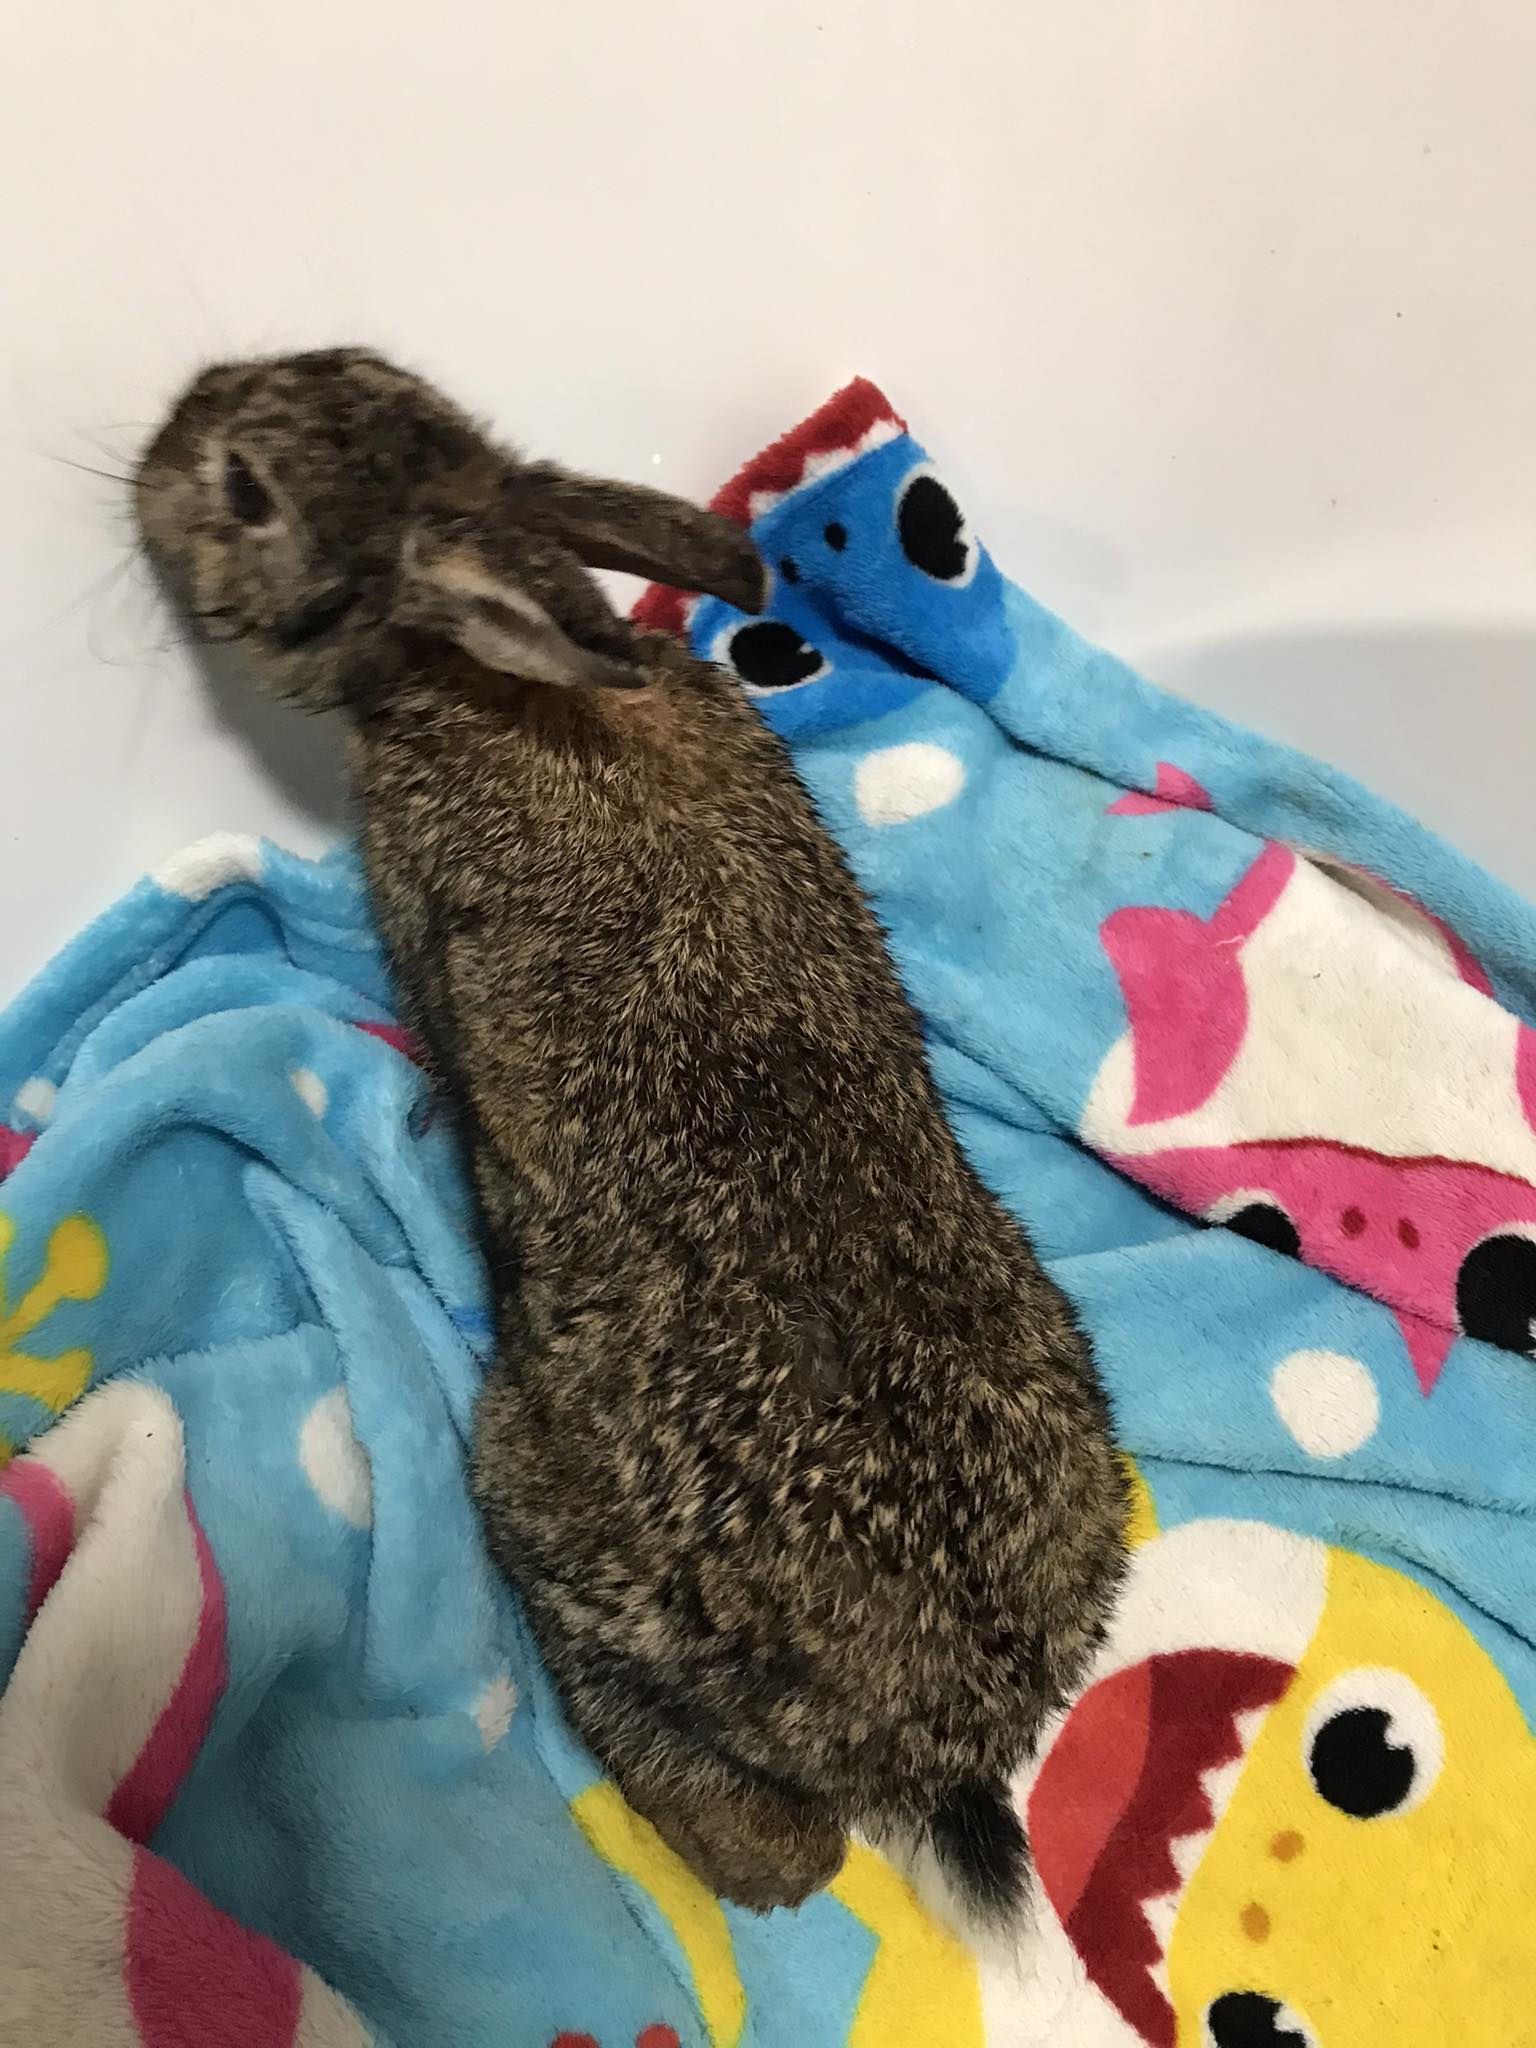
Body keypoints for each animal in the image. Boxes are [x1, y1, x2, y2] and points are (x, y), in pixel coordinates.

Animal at [135, 347, 1127, 1919]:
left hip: (539, 1496)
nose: (162, 448)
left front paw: (428, 1102)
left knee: (727, 1798)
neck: (481, 677)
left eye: (245, 490)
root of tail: (937, 1739)